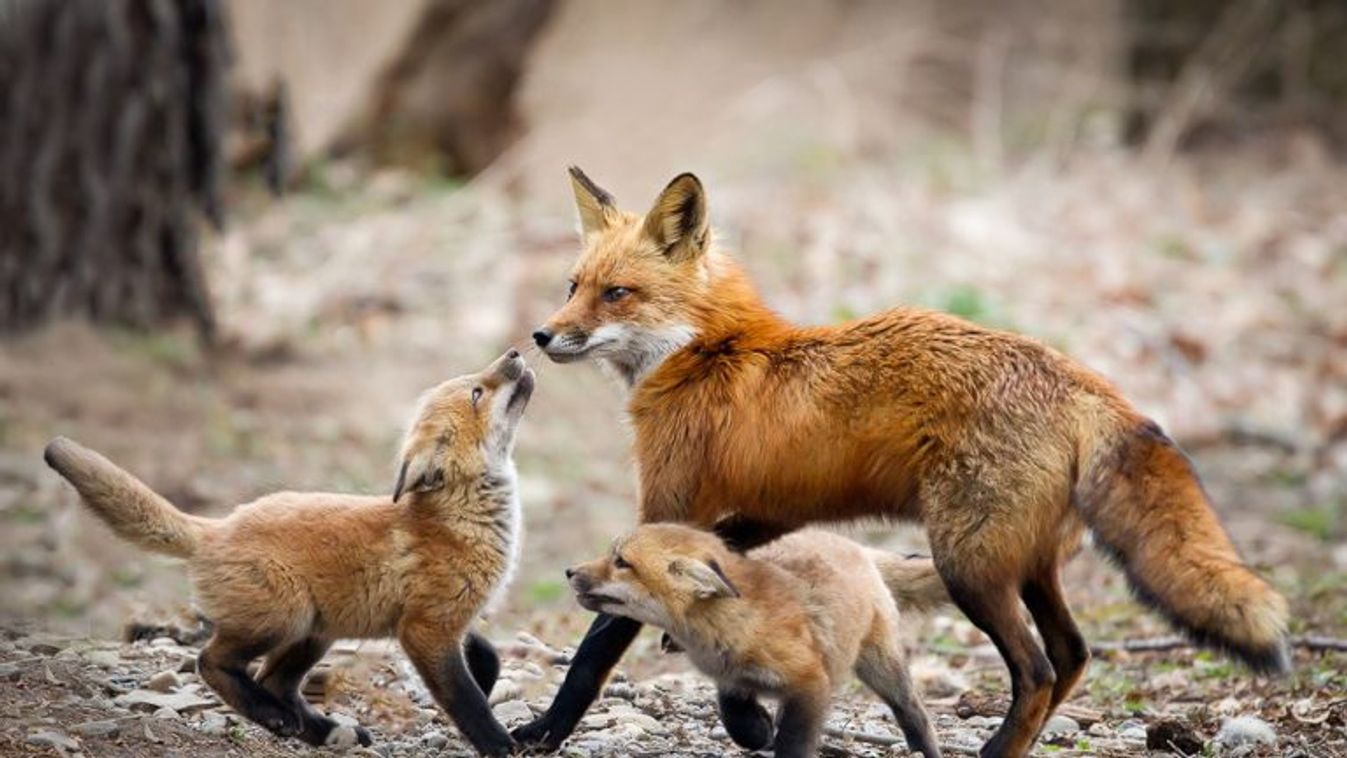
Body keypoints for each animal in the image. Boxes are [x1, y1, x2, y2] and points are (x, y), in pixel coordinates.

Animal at [511, 168, 1282, 753]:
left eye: (616, 293)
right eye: (572, 285)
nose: (541, 335)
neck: (705, 352)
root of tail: (1080, 378)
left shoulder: (669, 508)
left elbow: (596, 647)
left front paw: (545, 731)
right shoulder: (766, 510)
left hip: (968, 564)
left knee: (1035, 670)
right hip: (1026, 564)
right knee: (1072, 656)